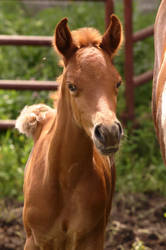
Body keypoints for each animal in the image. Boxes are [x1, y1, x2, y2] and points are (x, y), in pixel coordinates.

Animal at [16, 15, 123, 250]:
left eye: (118, 83)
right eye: (72, 85)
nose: (109, 132)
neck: (65, 181)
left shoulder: (92, 239)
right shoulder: (36, 240)